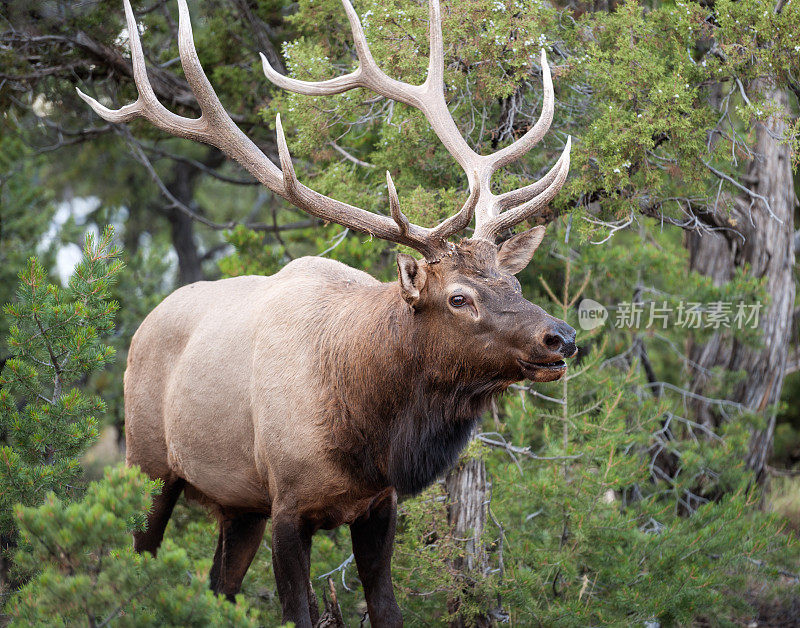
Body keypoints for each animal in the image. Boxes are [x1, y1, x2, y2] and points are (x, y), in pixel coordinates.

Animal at [78, 0, 576, 624]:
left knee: (219, 586)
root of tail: (142, 326)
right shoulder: (288, 505)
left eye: (513, 280)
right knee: (131, 563)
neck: (369, 437)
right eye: (459, 297)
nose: (560, 337)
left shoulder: (377, 506)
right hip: (147, 465)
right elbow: (299, 611)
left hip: (238, 503)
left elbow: (385, 608)